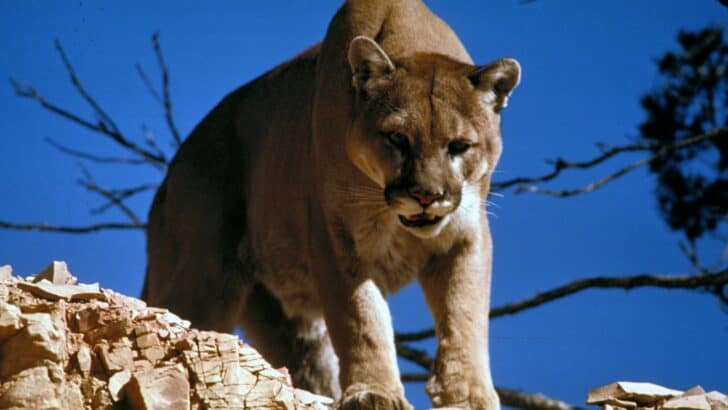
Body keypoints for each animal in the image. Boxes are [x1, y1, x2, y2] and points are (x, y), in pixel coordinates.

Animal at [144, 0, 521, 408]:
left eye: (459, 146)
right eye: (397, 138)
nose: (426, 195)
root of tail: (169, 176)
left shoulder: (465, 235)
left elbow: (464, 314)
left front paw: (467, 394)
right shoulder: (336, 238)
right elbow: (361, 319)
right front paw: (375, 392)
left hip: (289, 323)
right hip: (203, 279)